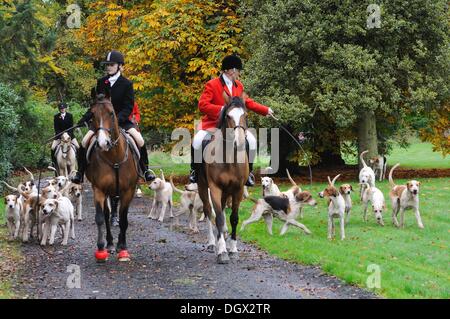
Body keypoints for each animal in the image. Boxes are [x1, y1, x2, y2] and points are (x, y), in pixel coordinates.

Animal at [87, 93, 138, 262]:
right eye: (92, 115)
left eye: (111, 113)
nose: (103, 143)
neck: (114, 157)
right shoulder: (98, 189)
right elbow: (100, 217)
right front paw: (101, 248)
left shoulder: (128, 191)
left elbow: (123, 219)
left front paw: (123, 248)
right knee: (106, 215)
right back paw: (109, 244)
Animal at [198, 93, 250, 264]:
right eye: (228, 116)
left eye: (245, 115)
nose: (239, 143)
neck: (229, 157)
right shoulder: (214, 188)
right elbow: (219, 218)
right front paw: (222, 251)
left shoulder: (238, 190)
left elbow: (234, 218)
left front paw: (233, 249)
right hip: (202, 187)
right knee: (209, 211)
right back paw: (212, 243)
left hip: (227, 192)